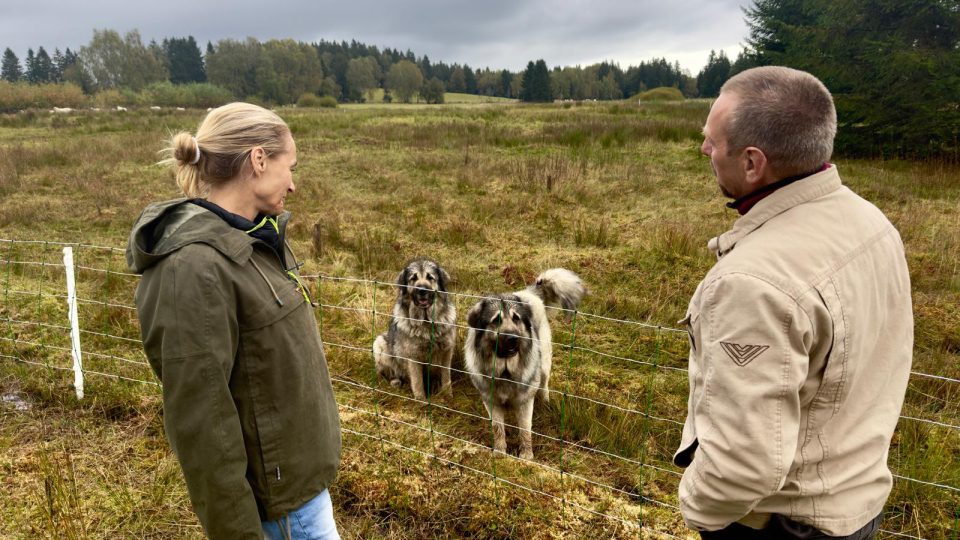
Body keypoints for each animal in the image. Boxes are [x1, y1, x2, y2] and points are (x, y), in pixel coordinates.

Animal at [374, 260, 456, 398]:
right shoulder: (413, 357)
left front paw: (447, 395)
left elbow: (446, 376)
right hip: (380, 343)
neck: (426, 322)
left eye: (430, 277)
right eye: (413, 278)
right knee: (387, 373)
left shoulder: (446, 351)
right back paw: (394, 381)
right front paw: (420, 399)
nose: (422, 290)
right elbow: (417, 381)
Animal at [464, 270, 584, 460]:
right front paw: (500, 452)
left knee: (544, 384)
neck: (505, 370)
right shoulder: (491, 402)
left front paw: (526, 456)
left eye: (516, 319)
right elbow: (498, 429)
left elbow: (525, 430)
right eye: (496, 320)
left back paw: (546, 402)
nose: (514, 339)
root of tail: (529, 293)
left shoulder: (525, 403)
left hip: (544, 365)